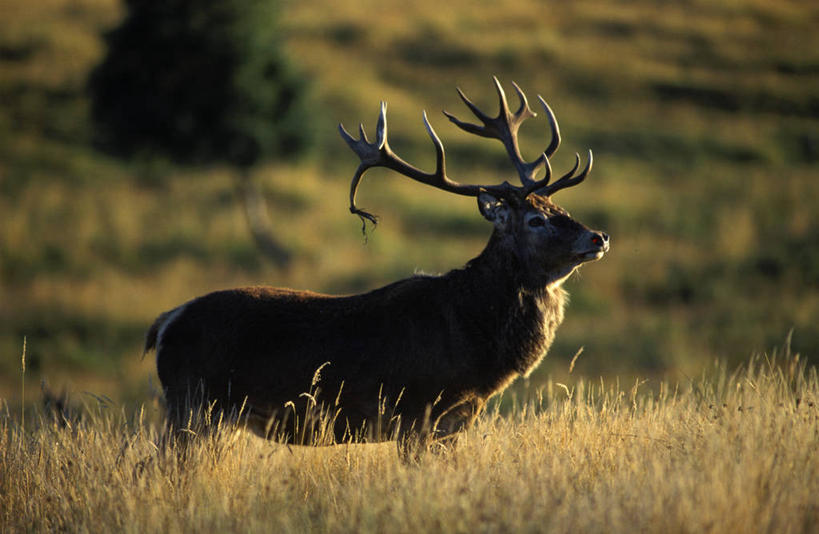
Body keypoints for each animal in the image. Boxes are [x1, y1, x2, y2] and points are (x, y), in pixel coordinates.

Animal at [144, 77, 608, 454]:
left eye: (560, 208)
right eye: (535, 219)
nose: (598, 237)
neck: (475, 338)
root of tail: (165, 322)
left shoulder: (457, 420)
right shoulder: (416, 411)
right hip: (195, 404)